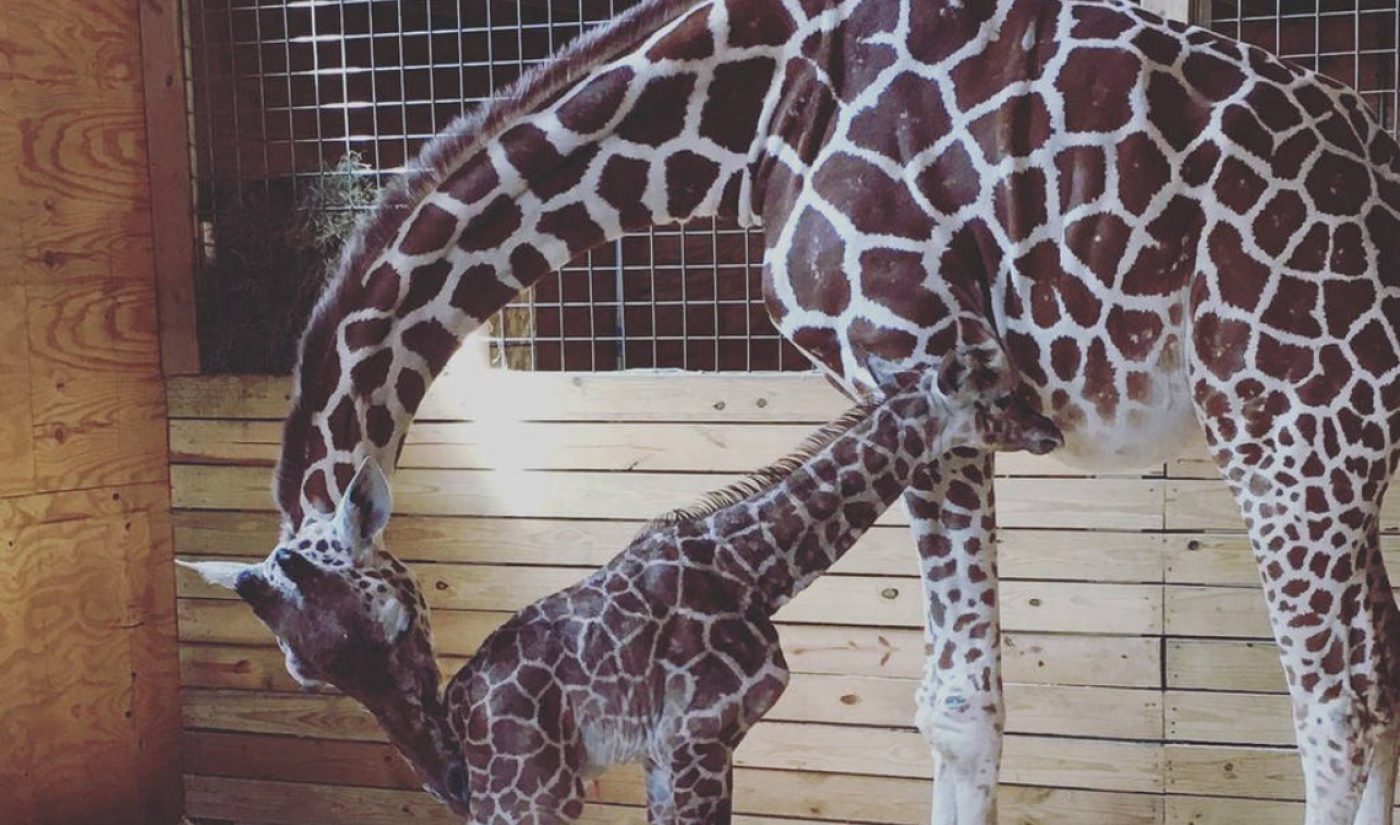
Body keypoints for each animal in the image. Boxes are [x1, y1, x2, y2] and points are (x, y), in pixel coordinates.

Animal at [185, 349, 1064, 824]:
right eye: (996, 393)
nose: (1051, 430)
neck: (756, 569)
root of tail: (464, 717)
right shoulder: (705, 732)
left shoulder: (666, 748)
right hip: (534, 789)